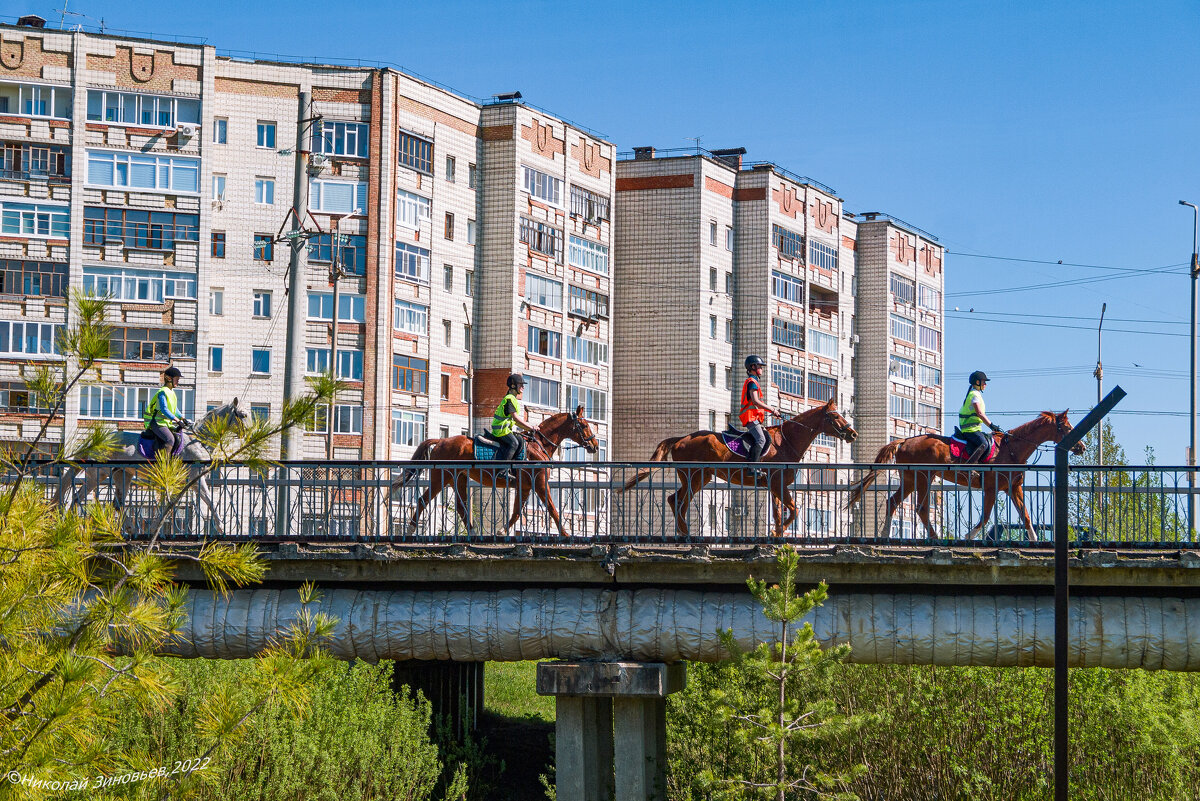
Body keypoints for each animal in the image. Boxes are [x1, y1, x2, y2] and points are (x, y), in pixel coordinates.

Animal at [63, 398, 248, 534]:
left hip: (122, 474)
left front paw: (154, 527)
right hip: (98, 473)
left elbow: (174, 501)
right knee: (77, 497)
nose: (247, 434)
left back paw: (130, 528)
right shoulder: (195, 478)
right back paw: (71, 526)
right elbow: (208, 500)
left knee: (117, 503)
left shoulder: (184, 481)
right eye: (243, 415)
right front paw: (221, 528)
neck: (198, 440)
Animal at [388, 407, 600, 537]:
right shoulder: (539, 483)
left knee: (461, 507)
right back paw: (409, 530)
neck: (538, 445)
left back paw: (473, 532)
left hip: (458, 479)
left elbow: (516, 512)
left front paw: (502, 531)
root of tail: (441, 440)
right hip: (441, 478)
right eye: (584, 425)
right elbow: (552, 509)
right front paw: (565, 534)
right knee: (423, 500)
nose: (595, 446)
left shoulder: (525, 486)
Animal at [619, 398, 854, 537]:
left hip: (700, 478)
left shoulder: (776, 487)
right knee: (676, 501)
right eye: (835, 416)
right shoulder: (778, 484)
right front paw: (776, 533)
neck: (785, 442)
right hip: (693, 477)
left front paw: (777, 534)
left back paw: (684, 532)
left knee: (676, 500)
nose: (853, 434)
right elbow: (794, 510)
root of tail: (681, 439)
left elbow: (779, 512)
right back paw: (685, 532)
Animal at [844, 410, 1089, 541]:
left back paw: (886, 534)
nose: (1082, 447)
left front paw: (1035, 540)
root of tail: (904, 440)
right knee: (920, 509)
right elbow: (985, 518)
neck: (1011, 449)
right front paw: (968, 538)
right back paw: (934, 538)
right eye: (1068, 427)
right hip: (923, 478)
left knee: (893, 502)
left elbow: (1026, 516)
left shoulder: (1013, 488)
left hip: (911, 480)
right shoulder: (990, 488)